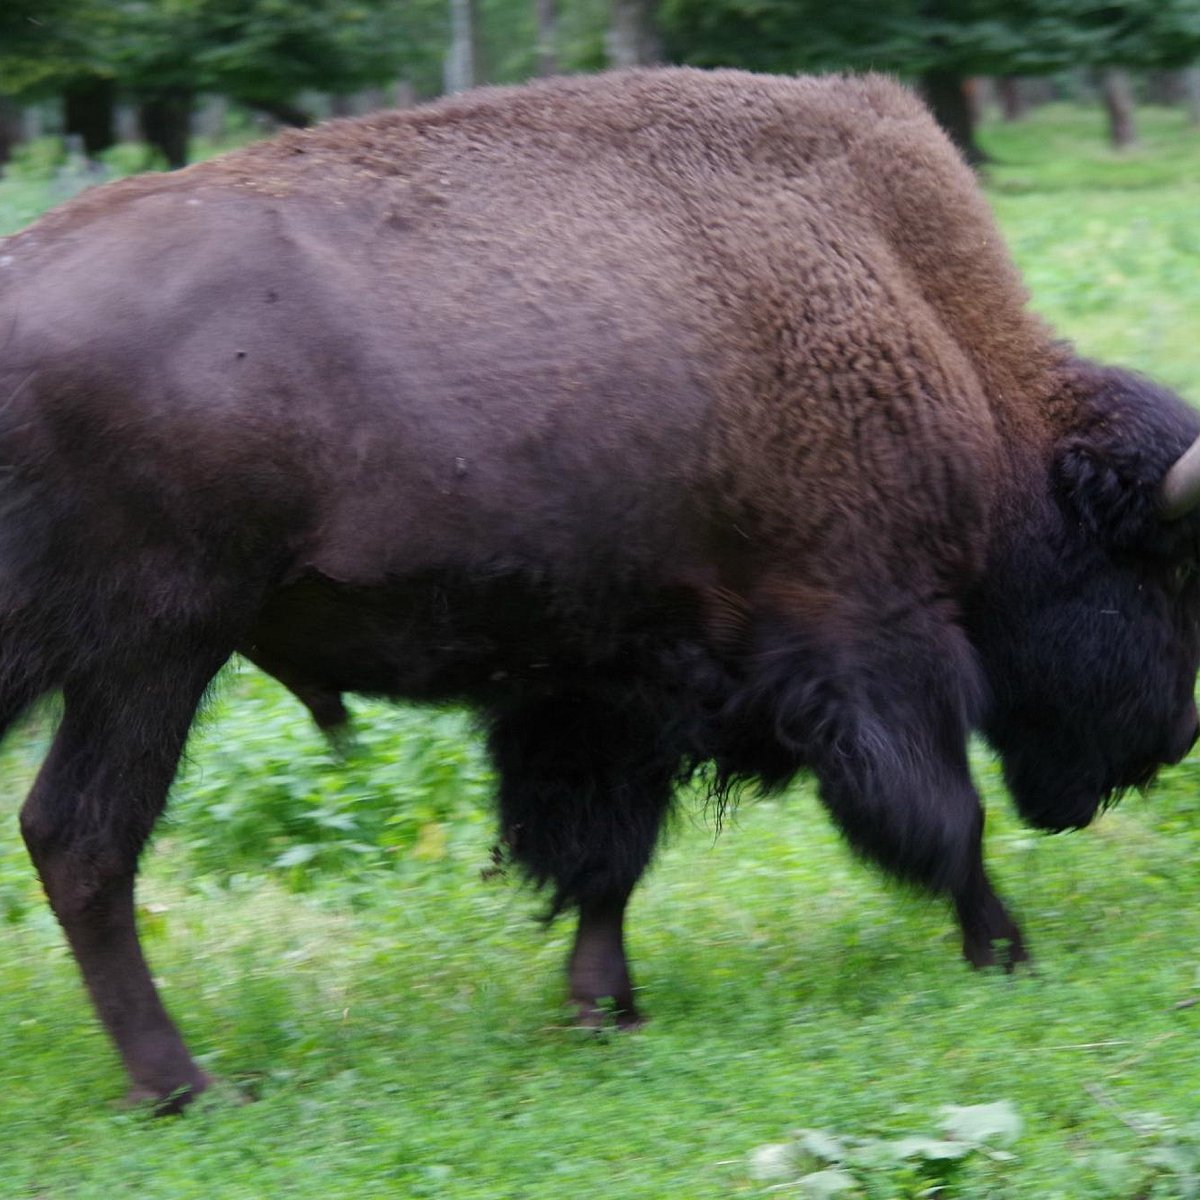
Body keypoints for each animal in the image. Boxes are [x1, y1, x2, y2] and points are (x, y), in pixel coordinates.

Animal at [2, 68, 1200, 1113]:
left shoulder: (605, 683)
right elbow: (947, 816)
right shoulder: (868, 639)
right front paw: (1007, 951)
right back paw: (183, 1086)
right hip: (154, 652)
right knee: (84, 840)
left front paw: (604, 1011)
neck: (925, 323)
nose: (1175, 738)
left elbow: (603, 855)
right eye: (1160, 569)